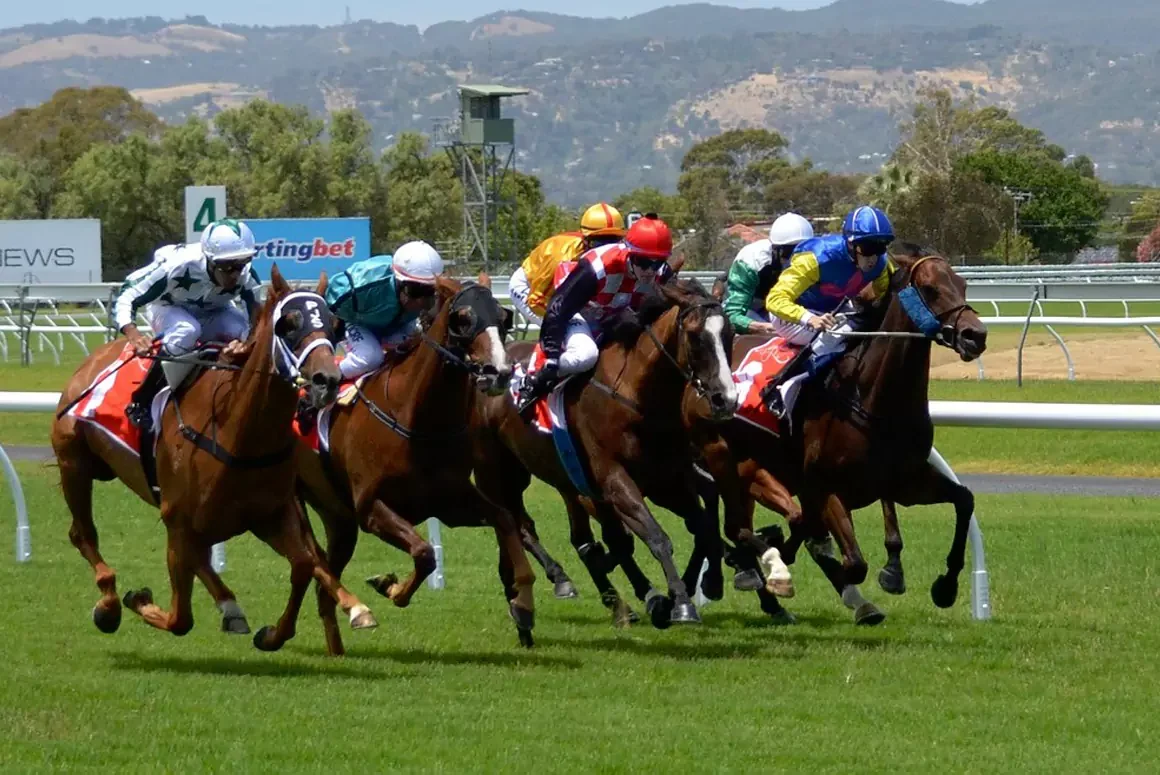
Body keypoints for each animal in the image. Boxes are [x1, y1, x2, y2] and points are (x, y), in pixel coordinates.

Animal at [52, 266, 377, 649]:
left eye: (334, 324)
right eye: (289, 323)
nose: (327, 379)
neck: (238, 432)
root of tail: (93, 360)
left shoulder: (270, 514)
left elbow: (302, 564)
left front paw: (272, 634)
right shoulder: (177, 521)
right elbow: (180, 619)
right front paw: (139, 600)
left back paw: (232, 607)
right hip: (74, 462)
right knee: (82, 533)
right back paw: (109, 604)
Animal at [294, 275, 537, 654]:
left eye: (503, 316)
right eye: (463, 318)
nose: (499, 372)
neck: (417, 418)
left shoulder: (451, 502)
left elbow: (505, 519)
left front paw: (523, 603)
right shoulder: (371, 509)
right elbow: (424, 553)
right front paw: (390, 586)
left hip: (339, 519)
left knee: (322, 586)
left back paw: (334, 648)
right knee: (308, 561)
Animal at [469, 277, 742, 629]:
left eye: (730, 334)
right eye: (696, 337)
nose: (726, 400)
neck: (635, 397)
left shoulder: (666, 482)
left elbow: (702, 528)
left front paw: (698, 587)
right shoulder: (614, 480)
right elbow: (656, 537)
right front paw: (681, 602)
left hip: (561, 480)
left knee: (581, 539)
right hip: (496, 472)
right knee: (517, 525)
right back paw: (561, 580)